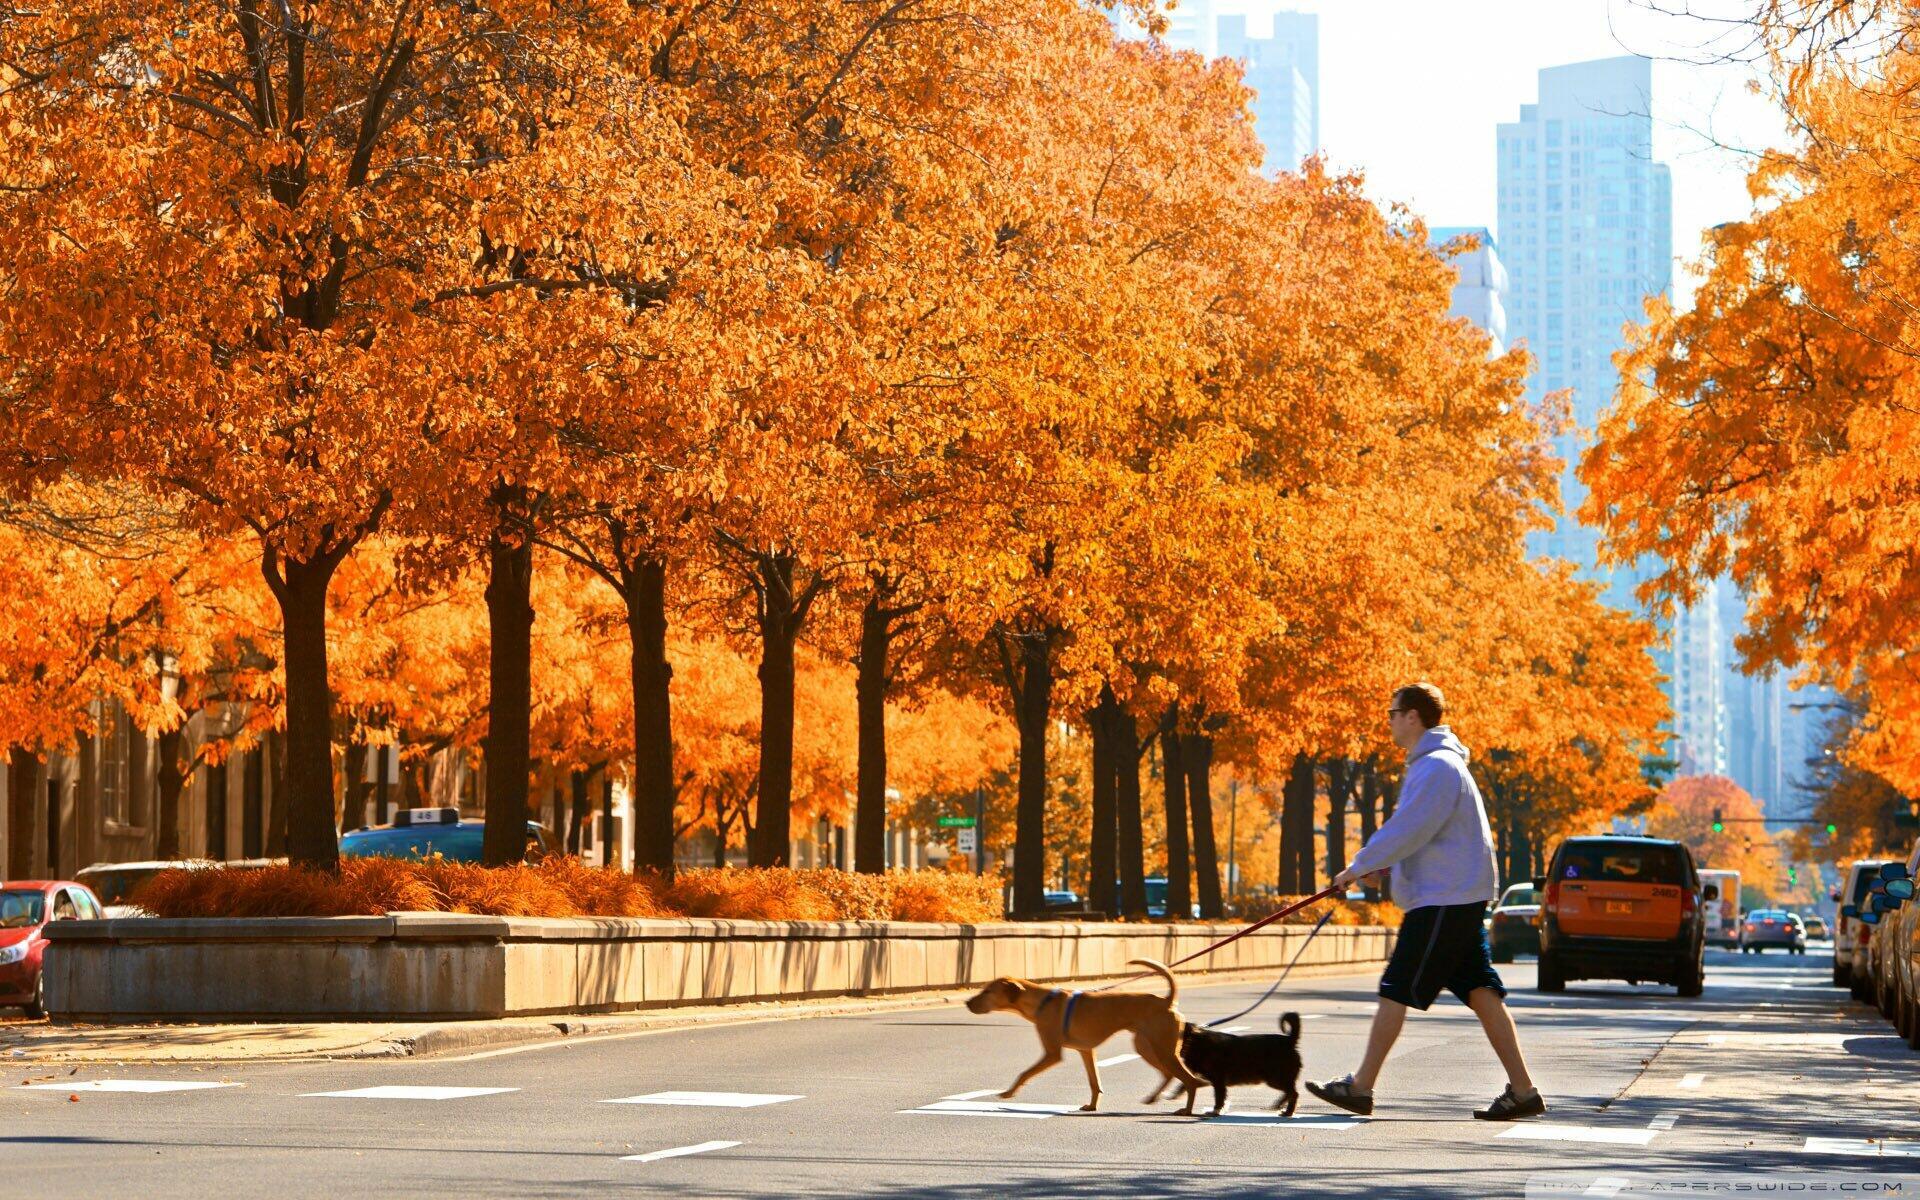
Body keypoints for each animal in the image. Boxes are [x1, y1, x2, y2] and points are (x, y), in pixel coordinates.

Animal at [967, 956, 1190, 1113]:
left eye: (987, 991)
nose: (967, 1002)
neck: (1042, 1002)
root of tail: (1166, 1001)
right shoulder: (1086, 1051)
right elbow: (1094, 1083)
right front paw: (1092, 1106)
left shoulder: (1052, 1054)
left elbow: (1024, 1073)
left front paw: (1009, 1092)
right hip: (1147, 1046)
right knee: (1169, 1074)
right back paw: (1155, 1098)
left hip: (1159, 1049)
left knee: (1185, 1078)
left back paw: (1184, 1107)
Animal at [1167, 1013, 1305, 1113]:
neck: (1194, 1041)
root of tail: (1289, 1041)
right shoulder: (1201, 1078)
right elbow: (1184, 1085)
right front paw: (1174, 1095)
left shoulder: (1218, 1080)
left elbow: (1219, 1097)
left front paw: (1216, 1111)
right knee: (1289, 1093)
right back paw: (1279, 1106)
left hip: (1275, 1079)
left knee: (1294, 1094)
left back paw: (1288, 1112)